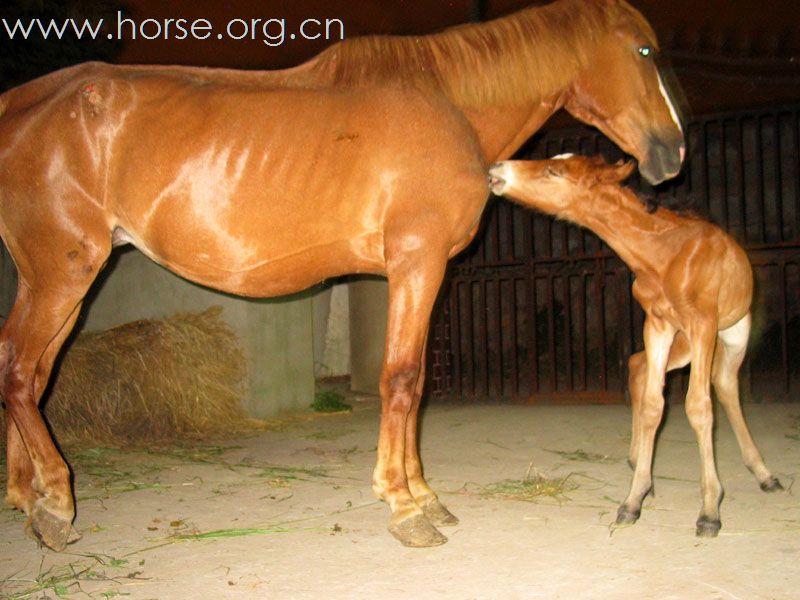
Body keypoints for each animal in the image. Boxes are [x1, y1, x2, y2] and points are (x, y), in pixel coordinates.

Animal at [0, 0, 680, 552]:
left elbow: (416, 381)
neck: (447, 103)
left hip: (60, 281)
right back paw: (55, 502)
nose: (672, 153)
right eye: (644, 51)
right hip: (63, 272)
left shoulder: (419, 271)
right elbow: (401, 380)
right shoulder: (417, 262)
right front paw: (405, 506)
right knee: (19, 371)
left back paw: (27, 500)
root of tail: (19, 105)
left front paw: (424, 494)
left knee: (30, 371)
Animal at [488, 154, 780, 536]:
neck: (664, 254)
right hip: (686, 343)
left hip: (730, 334)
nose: (496, 170)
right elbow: (656, 403)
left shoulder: (702, 323)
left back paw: (764, 474)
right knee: (646, 368)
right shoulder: (657, 325)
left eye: (555, 171)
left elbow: (698, 407)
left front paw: (709, 511)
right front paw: (632, 501)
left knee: (726, 385)